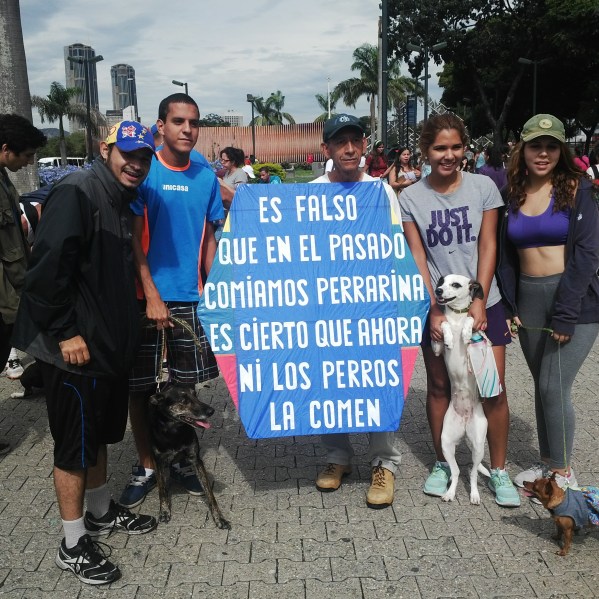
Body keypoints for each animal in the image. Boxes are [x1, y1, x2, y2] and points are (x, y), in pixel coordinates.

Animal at [149, 384, 231, 528]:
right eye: (183, 400)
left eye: (195, 395)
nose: (211, 411)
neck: (174, 432)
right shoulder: (158, 462)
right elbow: (162, 490)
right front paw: (164, 511)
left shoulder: (196, 460)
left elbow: (210, 493)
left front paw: (219, 518)